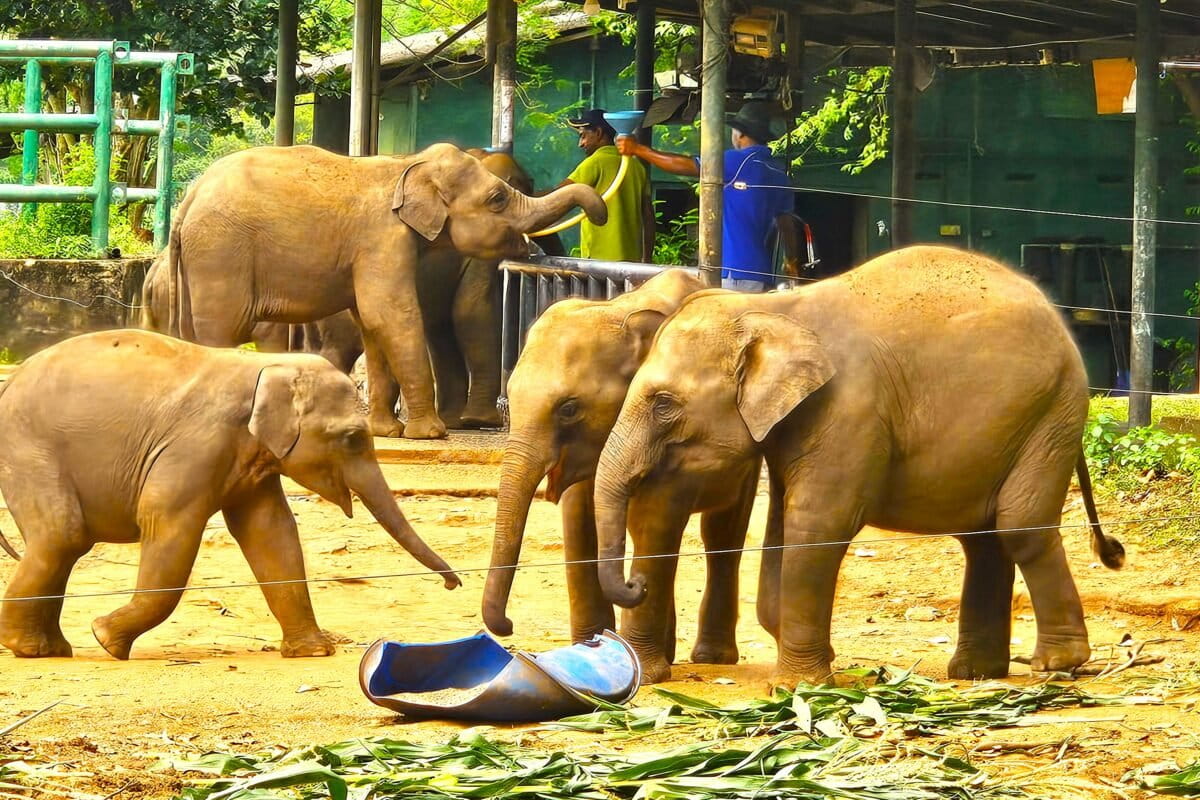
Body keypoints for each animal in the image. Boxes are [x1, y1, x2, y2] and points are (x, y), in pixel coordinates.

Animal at [0, 329, 460, 660]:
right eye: (351, 438)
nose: (452, 585)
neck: (265, 365)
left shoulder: (253, 462)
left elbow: (271, 532)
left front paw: (313, 652)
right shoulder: (196, 444)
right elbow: (167, 524)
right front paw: (106, 639)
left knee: (62, 543)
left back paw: (50, 649)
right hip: (28, 449)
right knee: (64, 535)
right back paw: (32, 649)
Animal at [160, 143, 606, 440]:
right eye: (497, 199)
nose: (599, 214)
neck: (406, 166)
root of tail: (188, 199)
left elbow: (372, 322)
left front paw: (386, 432)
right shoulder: (382, 237)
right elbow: (394, 313)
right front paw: (432, 433)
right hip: (220, 251)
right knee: (223, 328)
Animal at [482, 268, 763, 682]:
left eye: (569, 409)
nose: (508, 626)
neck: (620, 309)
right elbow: (579, 518)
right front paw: (590, 647)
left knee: (722, 532)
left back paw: (711, 657)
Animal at [593, 245, 1125, 689]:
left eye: (664, 404)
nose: (636, 584)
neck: (778, 309)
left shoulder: (849, 409)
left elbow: (816, 525)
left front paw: (799, 687)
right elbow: (783, 527)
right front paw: (811, 663)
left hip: (1053, 413)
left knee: (1020, 525)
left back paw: (1058, 664)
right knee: (984, 538)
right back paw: (975, 673)